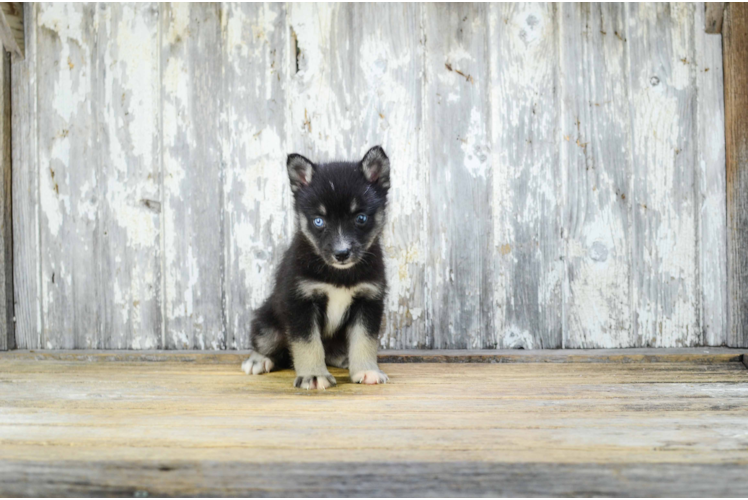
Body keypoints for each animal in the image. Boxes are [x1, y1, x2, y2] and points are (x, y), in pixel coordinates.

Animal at [243, 146, 392, 390]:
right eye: (319, 221)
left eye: (361, 218)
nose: (342, 254)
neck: (339, 275)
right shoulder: (300, 302)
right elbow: (308, 343)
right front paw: (313, 375)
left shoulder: (368, 301)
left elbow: (364, 340)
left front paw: (366, 370)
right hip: (268, 321)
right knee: (266, 342)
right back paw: (258, 360)